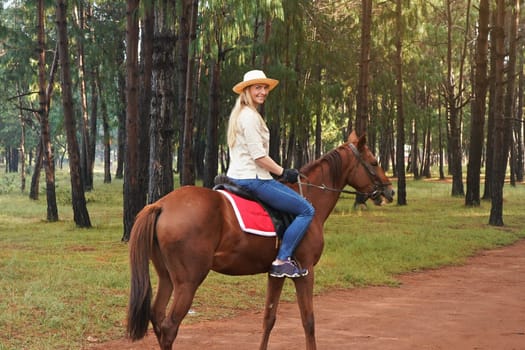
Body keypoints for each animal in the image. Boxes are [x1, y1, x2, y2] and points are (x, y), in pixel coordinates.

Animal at [127, 132, 392, 350]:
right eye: (374, 162)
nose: (389, 190)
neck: (310, 198)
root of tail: (161, 204)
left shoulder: (276, 274)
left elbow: (269, 318)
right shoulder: (306, 271)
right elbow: (308, 320)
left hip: (167, 277)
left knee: (158, 317)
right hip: (188, 281)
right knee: (170, 326)